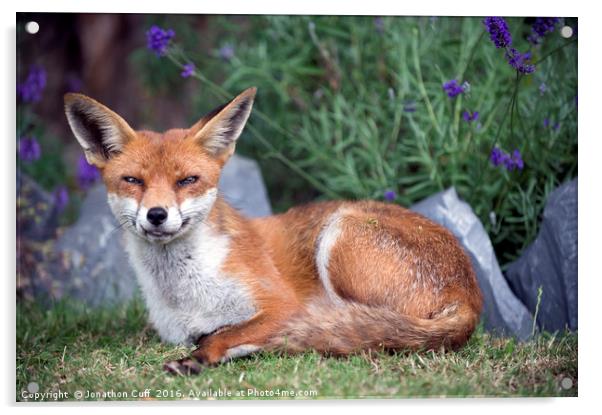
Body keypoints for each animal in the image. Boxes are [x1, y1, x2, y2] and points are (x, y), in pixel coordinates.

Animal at [63, 88, 480, 376]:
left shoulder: (282, 306)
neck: (184, 295)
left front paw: (204, 353)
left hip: (339, 235)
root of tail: (471, 295)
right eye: (133, 181)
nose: (157, 215)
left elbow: (231, 332)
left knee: (368, 331)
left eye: (187, 181)